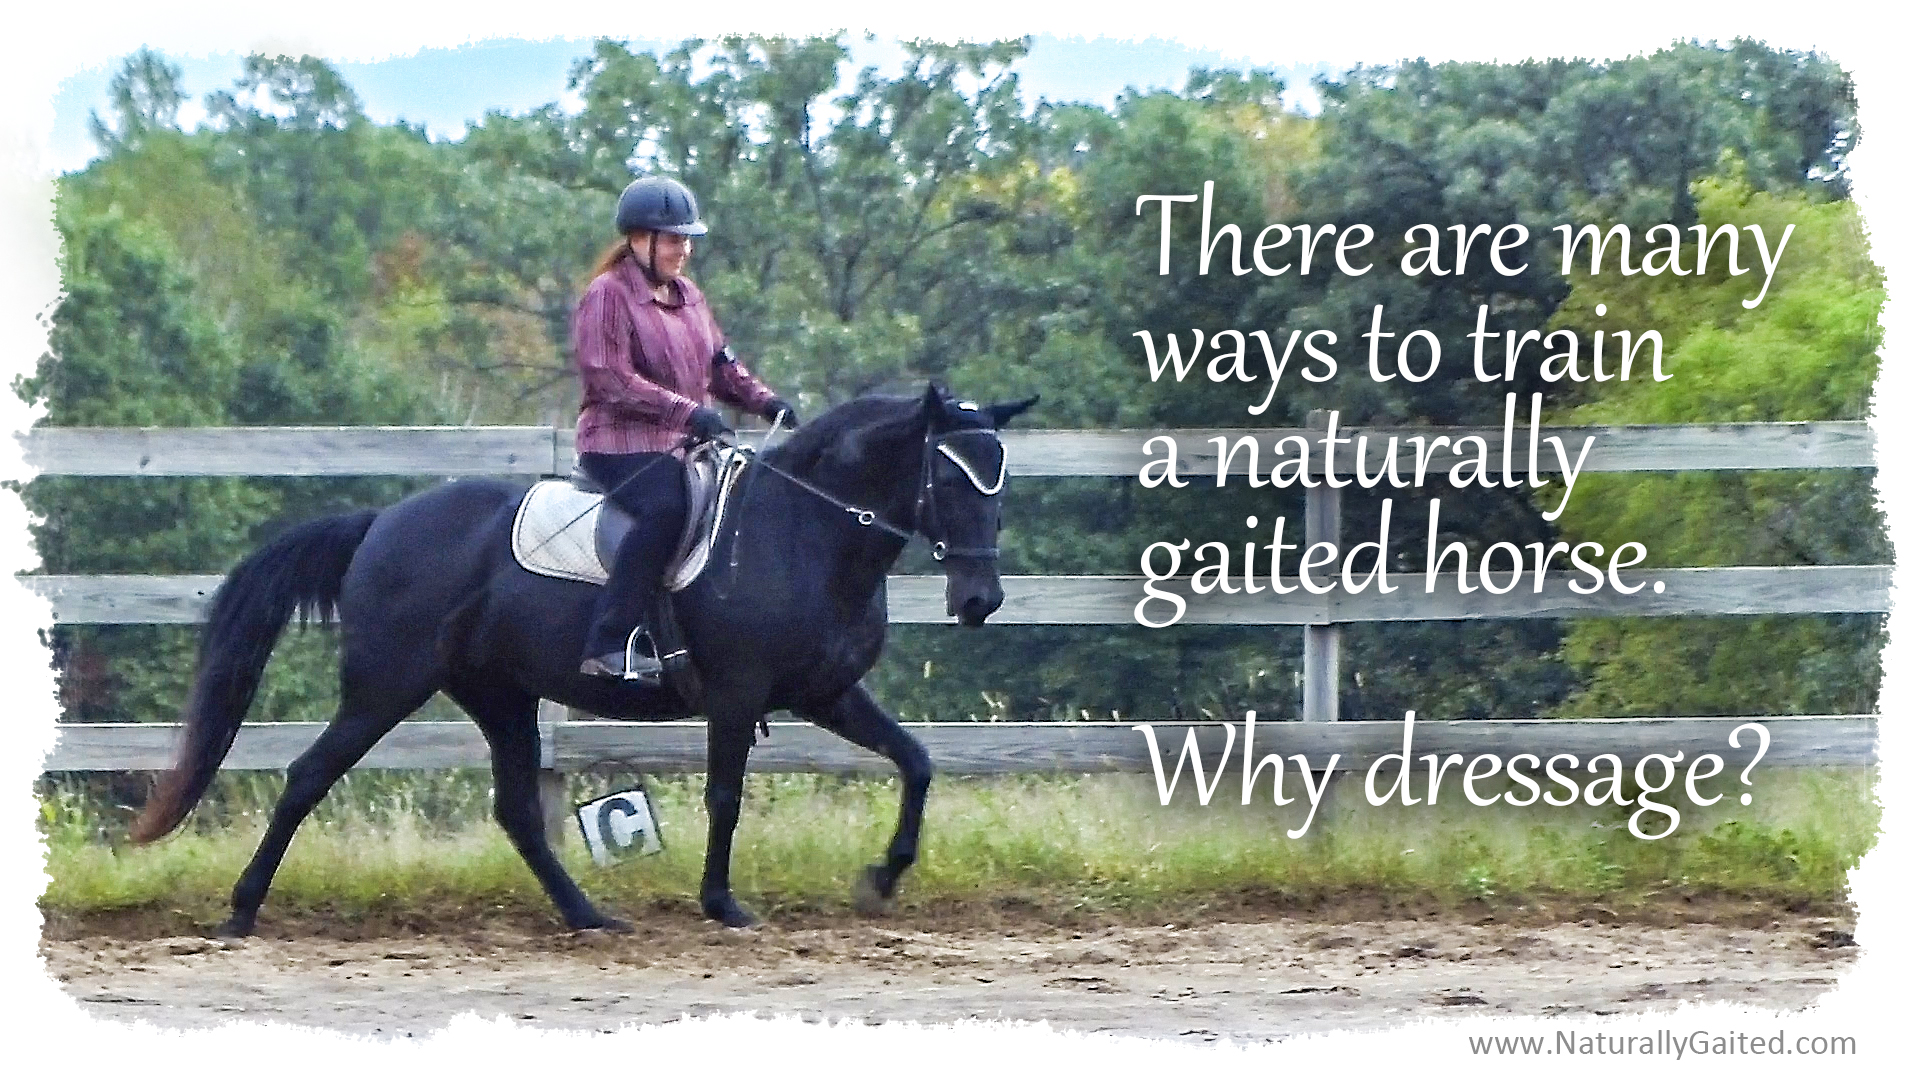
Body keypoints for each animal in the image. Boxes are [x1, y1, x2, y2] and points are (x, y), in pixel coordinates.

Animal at [130, 384, 1035, 934]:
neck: (806, 531)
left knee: (518, 813)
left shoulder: (828, 691)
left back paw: (588, 915)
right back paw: (242, 911)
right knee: (307, 777)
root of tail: (382, 521)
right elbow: (725, 797)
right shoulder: (738, 694)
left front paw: (884, 876)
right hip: (386, 688)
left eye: (1000, 477)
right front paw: (722, 902)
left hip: (500, 697)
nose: (980, 600)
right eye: (951, 477)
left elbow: (916, 762)